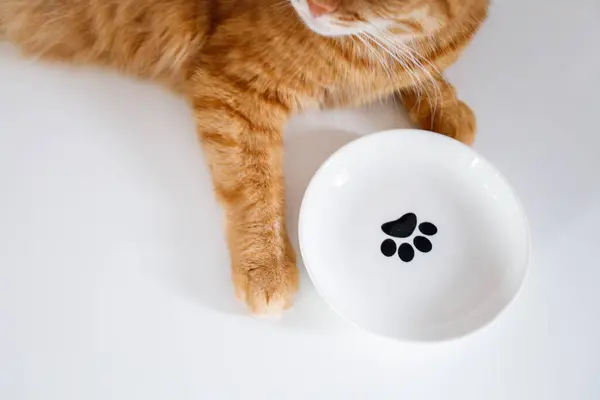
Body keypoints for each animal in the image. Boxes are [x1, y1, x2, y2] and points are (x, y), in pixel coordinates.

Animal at [0, 1, 488, 318]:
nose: (313, 3)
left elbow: (419, 71)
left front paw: (446, 107)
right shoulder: (235, 86)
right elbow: (255, 186)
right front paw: (267, 265)